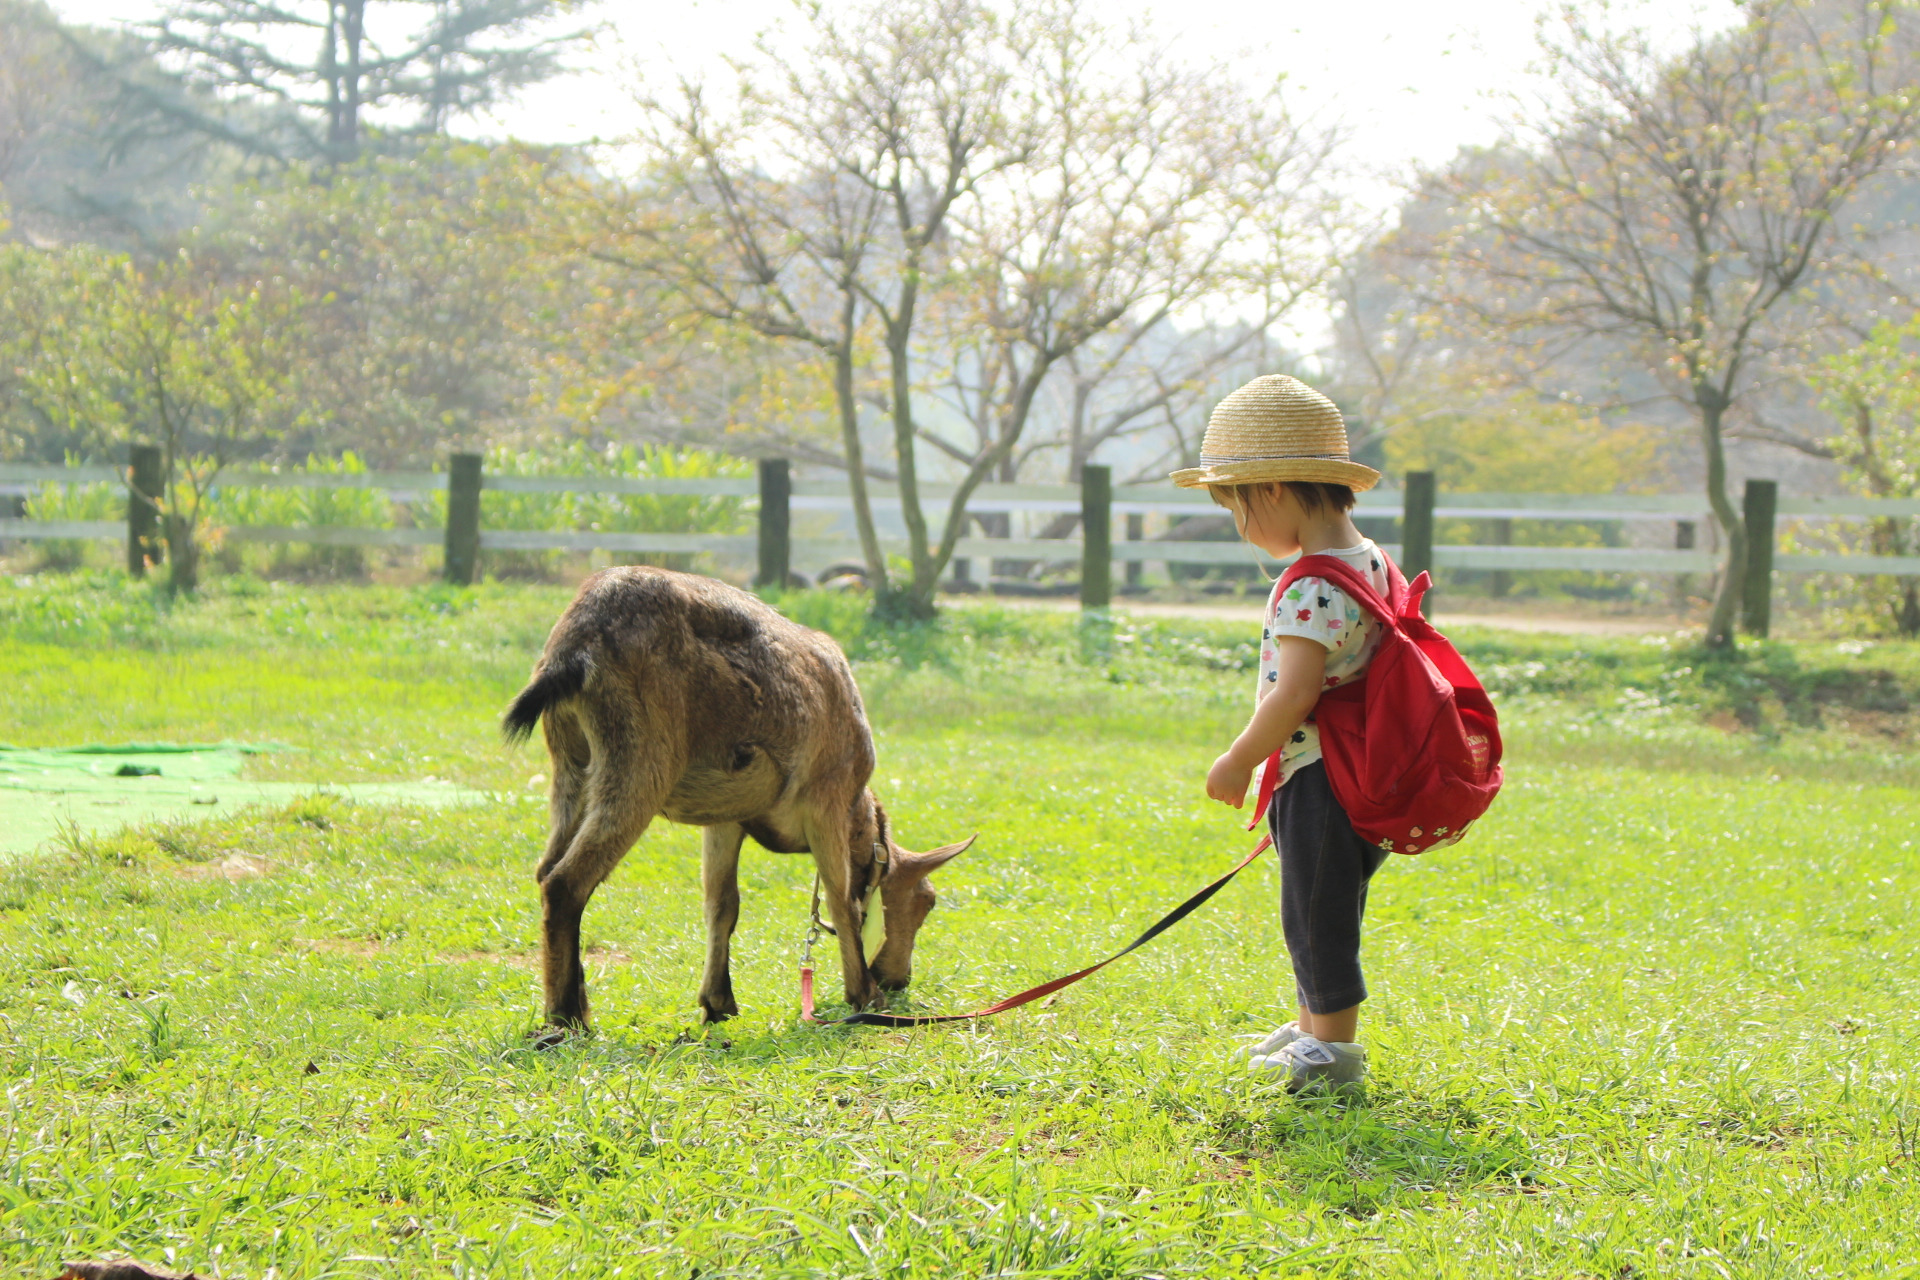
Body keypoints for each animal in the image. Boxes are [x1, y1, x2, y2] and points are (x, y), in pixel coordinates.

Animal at [503, 571, 975, 1028]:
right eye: (927, 900)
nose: (899, 979)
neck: (856, 809)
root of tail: (575, 648)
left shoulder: (725, 817)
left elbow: (722, 903)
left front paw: (718, 1003)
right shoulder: (826, 797)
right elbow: (841, 897)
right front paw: (863, 995)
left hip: (573, 764)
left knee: (546, 869)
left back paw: (567, 1001)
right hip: (638, 757)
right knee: (566, 882)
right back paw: (568, 1016)